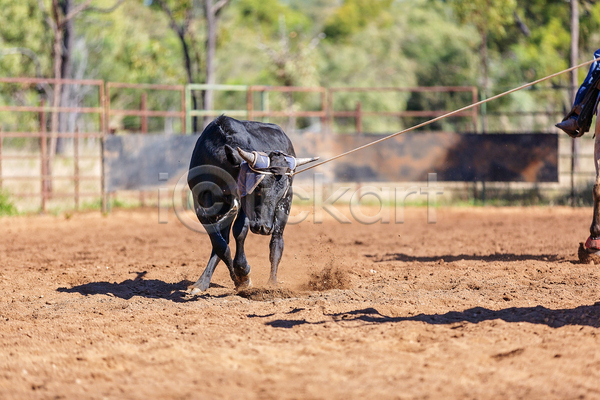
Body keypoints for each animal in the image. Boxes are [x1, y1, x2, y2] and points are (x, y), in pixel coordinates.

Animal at [187, 115, 318, 293]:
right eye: (257, 187)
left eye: (279, 193)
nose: (264, 227)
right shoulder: (200, 203)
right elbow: (219, 243)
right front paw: (238, 278)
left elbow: (240, 231)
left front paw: (243, 273)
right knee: (223, 239)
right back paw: (203, 282)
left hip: (286, 204)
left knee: (277, 242)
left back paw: (272, 283)